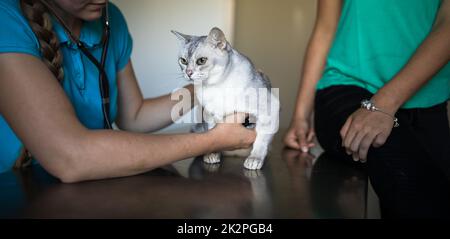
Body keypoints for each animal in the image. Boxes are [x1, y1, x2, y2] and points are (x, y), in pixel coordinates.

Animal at [171, 27, 278, 170]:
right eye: (183, 61)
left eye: (201, 60)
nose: (188, 73)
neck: (217, 86)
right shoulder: (209, 114)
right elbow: (212, 134)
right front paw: (212, 154)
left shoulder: (270, 108)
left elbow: (261, 139)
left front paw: (255, 158)